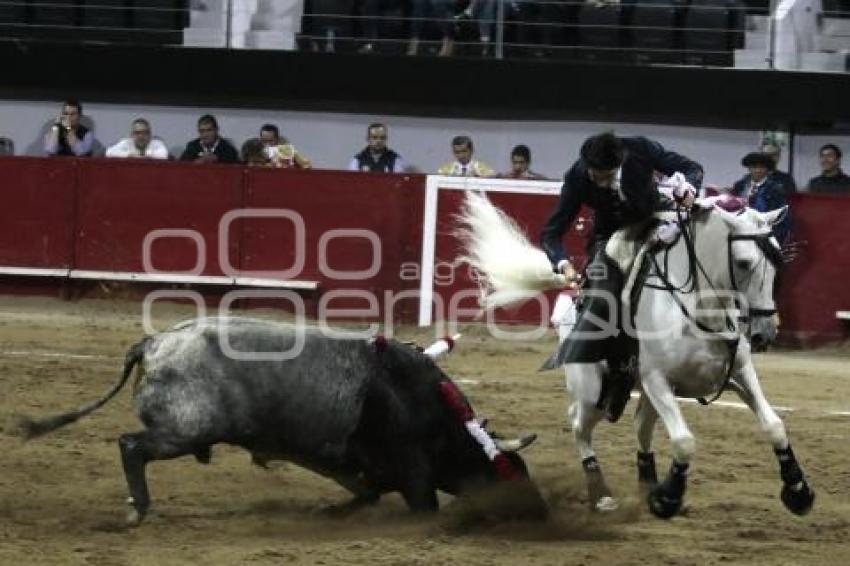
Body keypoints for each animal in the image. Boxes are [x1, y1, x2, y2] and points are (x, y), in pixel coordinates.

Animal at [16, 320, 544, 528]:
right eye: (512, 471)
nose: (540, 509)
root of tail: (153, 343)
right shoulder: (413, 472)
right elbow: (421, 507)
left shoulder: (357, 466)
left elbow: (365, 493)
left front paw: (330, 513)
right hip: (185, 430)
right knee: (131, 446)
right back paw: (136, 511)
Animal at [458, 193, 816, 520]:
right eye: (742, 263)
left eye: (778, 260)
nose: (765, 332)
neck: (699, 310)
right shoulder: (657, 380)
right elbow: (684, 441)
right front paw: (668, 499)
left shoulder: (738, 373)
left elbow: (774, 425)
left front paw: (798, 492)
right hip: (595, 393)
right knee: (578, 424)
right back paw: (602, 494)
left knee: (641, 425)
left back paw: (647, 485)